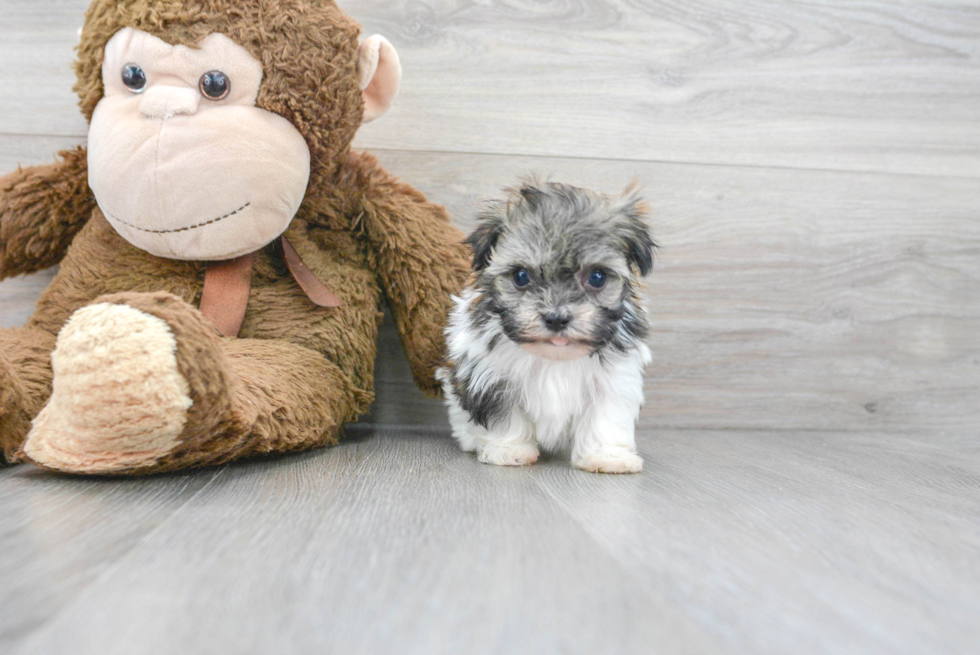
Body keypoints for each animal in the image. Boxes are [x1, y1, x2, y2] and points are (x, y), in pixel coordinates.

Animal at [438, 182, 656, 474]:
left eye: (597, 277)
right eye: (521, 276)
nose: (556, 318)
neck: (555, 356)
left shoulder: (614, 379)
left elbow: (606, 416)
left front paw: (606, 456)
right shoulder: (491, 378)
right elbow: (505, 416)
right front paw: (510, 450)